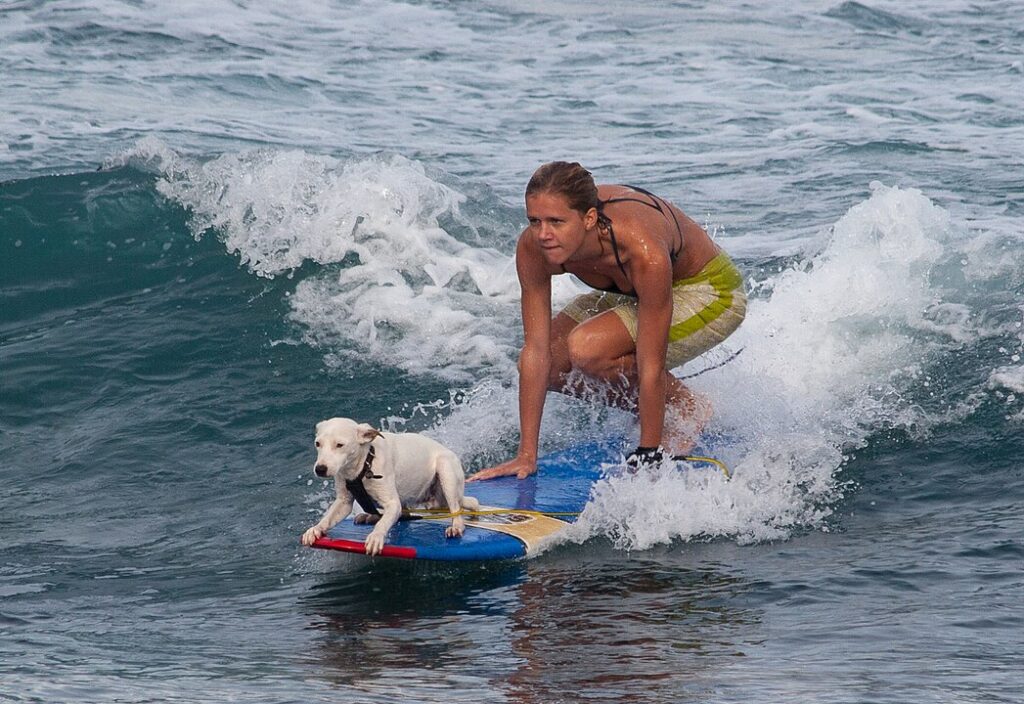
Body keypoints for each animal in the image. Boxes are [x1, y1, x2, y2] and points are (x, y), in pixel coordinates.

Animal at [299, 417, 479, 556]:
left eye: (340, 445)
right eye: (317, 444)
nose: (320, 469)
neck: (364, 465)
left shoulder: (393, 503)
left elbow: (383, 523)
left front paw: (376, 538)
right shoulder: (344, 502)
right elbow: (327, 518)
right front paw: (315, 529)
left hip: (445, 472)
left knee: (457, 508)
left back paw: (456, 526)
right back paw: (369, 516)